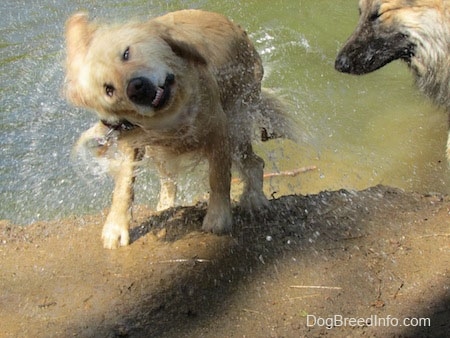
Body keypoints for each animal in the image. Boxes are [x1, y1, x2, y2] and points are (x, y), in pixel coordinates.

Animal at [66, 9, 292, 248]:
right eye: (108, 89)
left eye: (126, 53)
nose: (135, 88)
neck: (171, 113)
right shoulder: (132, 140)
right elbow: (124, 186)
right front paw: (116, 227)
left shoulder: (218, 129)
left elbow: (219, 177)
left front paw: (218, 217)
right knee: (168, 181)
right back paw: (165, 206)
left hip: (238, 119)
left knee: (254, 163)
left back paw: (254, 199)